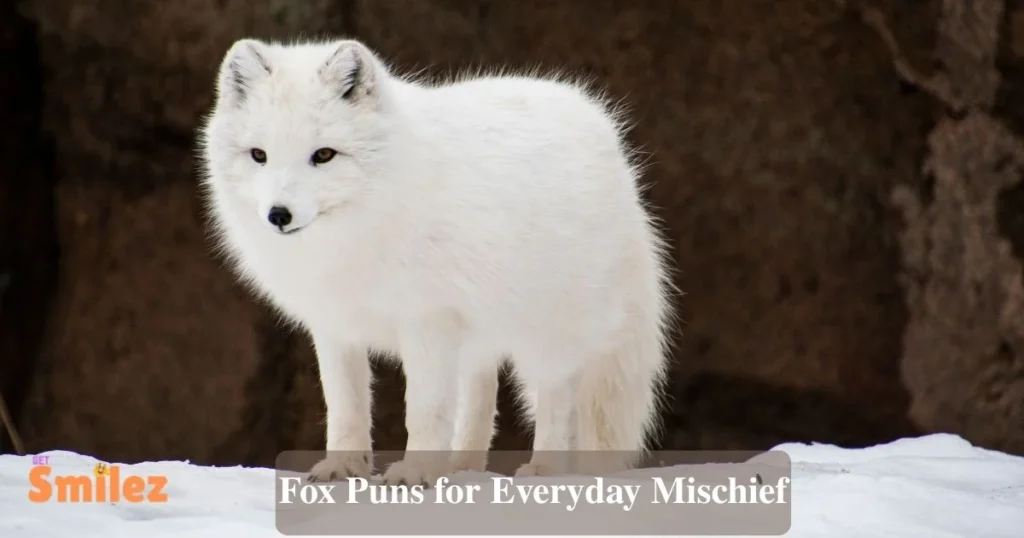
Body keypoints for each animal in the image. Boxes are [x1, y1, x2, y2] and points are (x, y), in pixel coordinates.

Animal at [197, 37, 676, 486]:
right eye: (259, 155)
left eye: (324, 155)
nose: (278, 215)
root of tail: (606, 134)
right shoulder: (335, 325)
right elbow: (345, 406)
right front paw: (344, 469)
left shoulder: (428, 320)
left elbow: (426, 410)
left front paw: (415, 475)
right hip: (480, 336)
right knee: (482, 396)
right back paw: (464, 468)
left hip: (548, 333)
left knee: (557, 400)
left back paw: (542, 469)